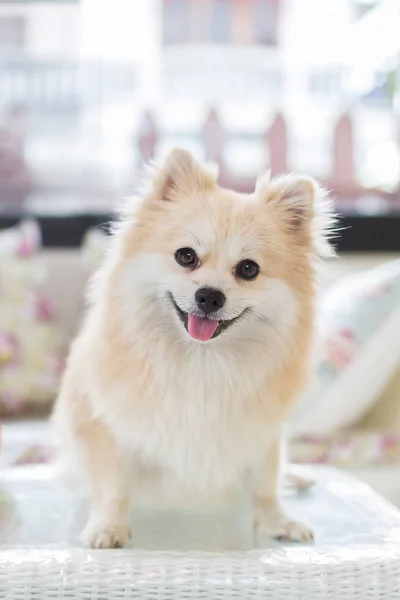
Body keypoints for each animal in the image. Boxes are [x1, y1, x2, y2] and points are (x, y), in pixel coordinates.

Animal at [54, 149, 334, 548]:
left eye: (248, 269)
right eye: (185, 256)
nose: (209, 296)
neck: (201, 361)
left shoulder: (260, 432)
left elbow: (265, 483)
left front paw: (277, 521)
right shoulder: (105, 425)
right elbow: (112, 484)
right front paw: (108, 526)